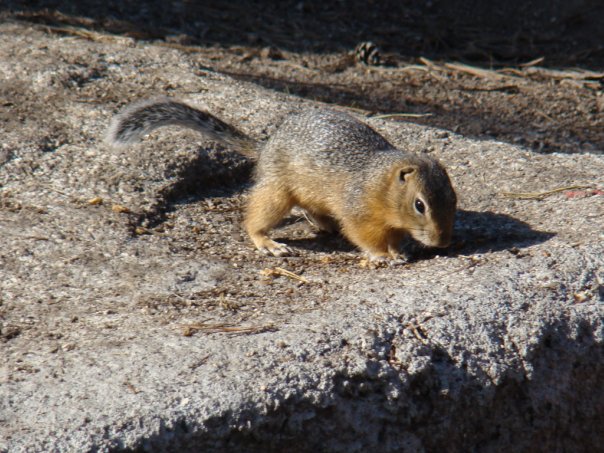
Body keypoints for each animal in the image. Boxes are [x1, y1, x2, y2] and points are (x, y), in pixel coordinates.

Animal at [106, 98, 457, 261]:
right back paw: (269, 243)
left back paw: (325, 224)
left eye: (454, 199)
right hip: (276, 193)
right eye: (420, 205)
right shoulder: (359, 212)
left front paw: (400, 250)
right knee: (254, 220)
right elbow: (365, 236)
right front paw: (384, 255)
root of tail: (266, 147)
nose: (444, 242)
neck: (379, 183)